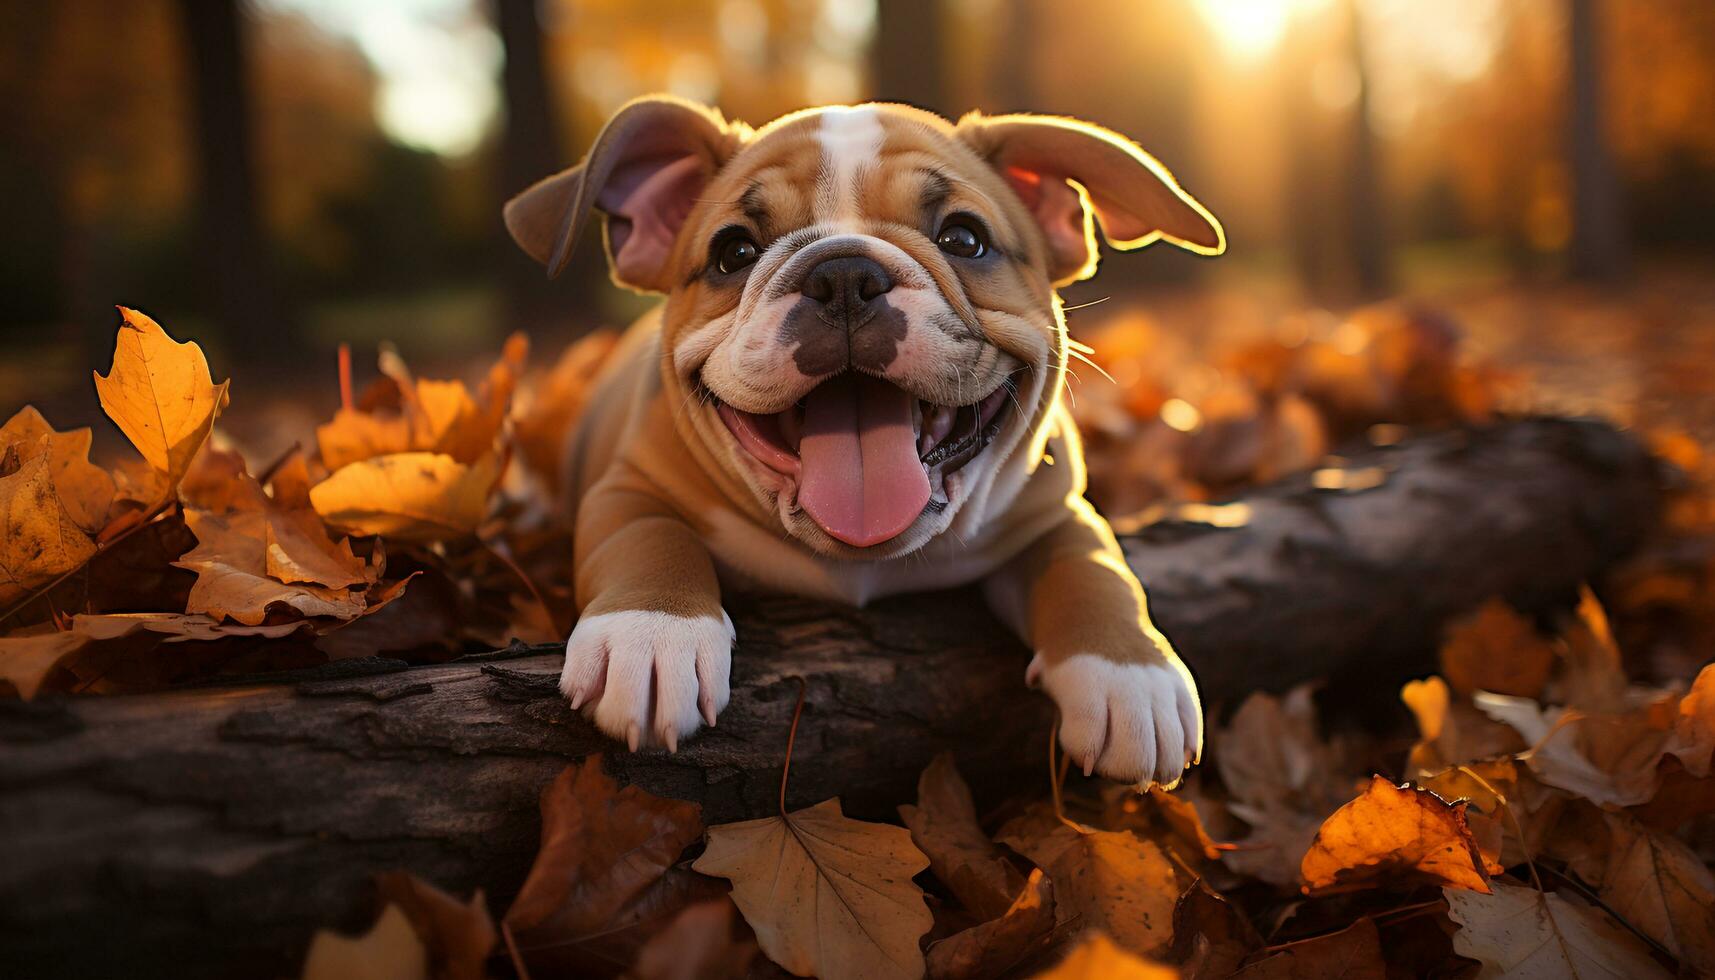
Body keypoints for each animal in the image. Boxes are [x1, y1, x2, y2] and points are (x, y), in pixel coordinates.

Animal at [500, 95, 1227, 786]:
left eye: (964, 239)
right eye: (733, 252)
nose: (844, 273)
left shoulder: (1051, 508)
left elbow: (1091, 563)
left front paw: (1127, 672)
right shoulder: (628, 485)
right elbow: (647, 536)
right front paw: (651, 634)